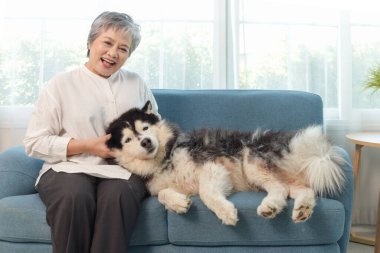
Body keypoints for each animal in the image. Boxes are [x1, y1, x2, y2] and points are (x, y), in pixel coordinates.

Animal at [105, 101, 346, 225]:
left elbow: (206, 193)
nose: (145, 141)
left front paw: (225, 212)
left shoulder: (213, 167)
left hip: (251, 161)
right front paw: (179, 203)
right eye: (128, 139)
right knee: (301, 190)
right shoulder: (162, 185)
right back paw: (301, 209)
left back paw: (270, 205)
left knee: (280, 188)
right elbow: (163, 193)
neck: (166, 156)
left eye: (145, 128)